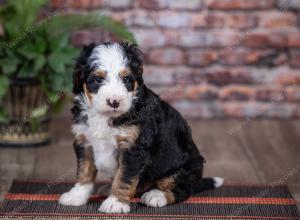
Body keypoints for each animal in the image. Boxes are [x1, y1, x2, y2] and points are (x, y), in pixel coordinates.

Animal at [58, 41, 223, 213]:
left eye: (126, 79)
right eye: (97, 79)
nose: (114, 102)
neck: (106, 116)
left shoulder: (133, 147)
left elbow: (124, 176)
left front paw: (116, 202)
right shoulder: (84, 141)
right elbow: (84, 171)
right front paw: (76, 195)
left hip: (184, 169)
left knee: (181, 189)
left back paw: (156, 196)